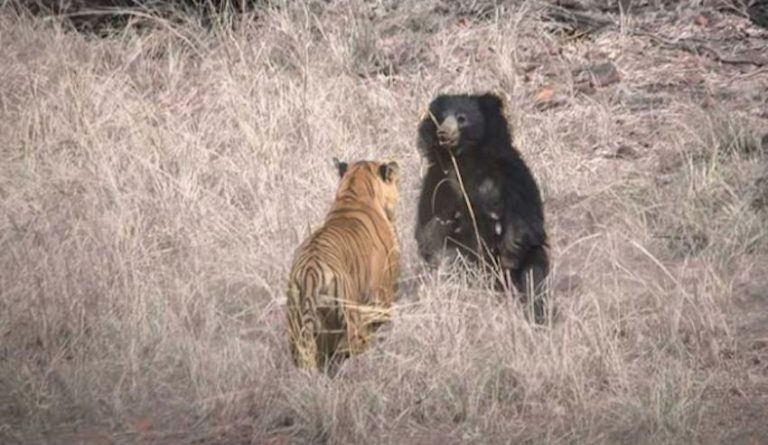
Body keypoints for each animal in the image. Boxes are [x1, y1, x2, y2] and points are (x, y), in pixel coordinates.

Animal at [286, 159, 401, 373]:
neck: (353, 190)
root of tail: (310, 273)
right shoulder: (383, 299)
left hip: (298, 330)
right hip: (351, 320)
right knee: (351, 351)